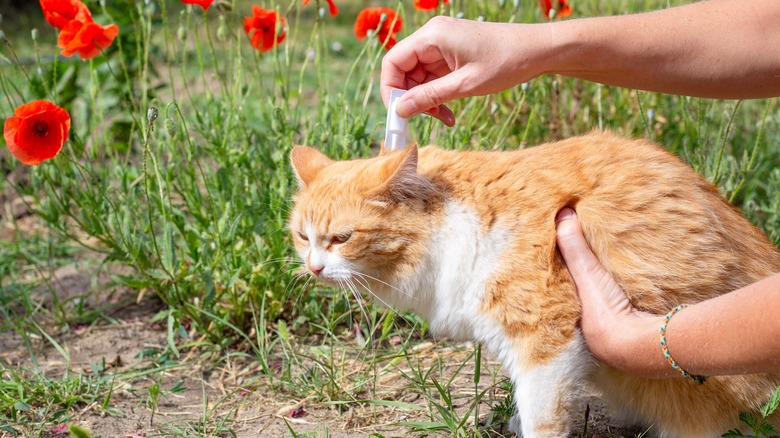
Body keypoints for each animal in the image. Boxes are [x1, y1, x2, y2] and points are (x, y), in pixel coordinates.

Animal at [286, 131, 780, 438]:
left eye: (342, 238)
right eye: (302, 236)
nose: (314, 267)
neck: (451, 225)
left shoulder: (546, 338)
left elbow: (542, 415)